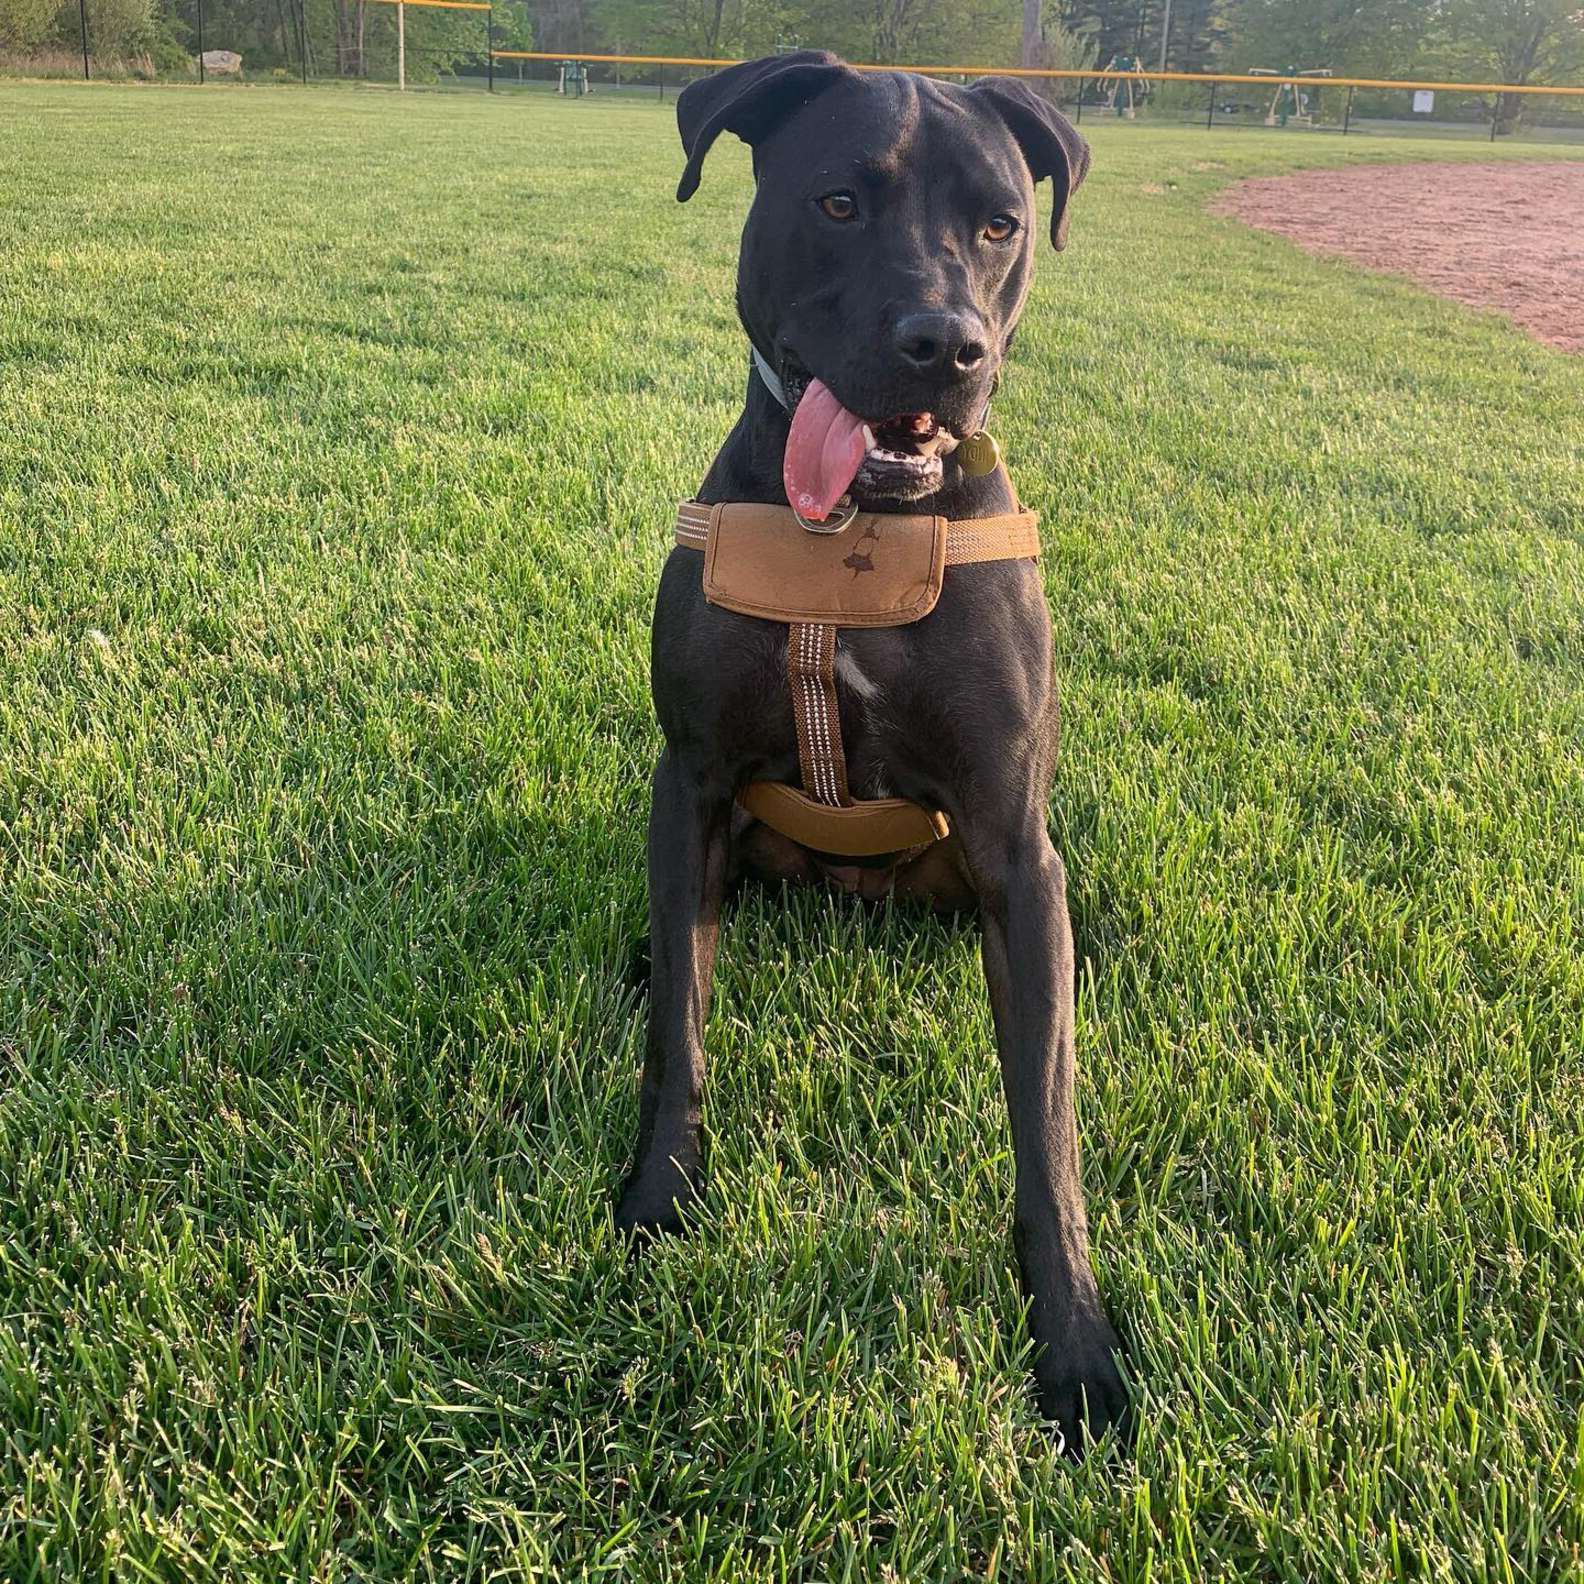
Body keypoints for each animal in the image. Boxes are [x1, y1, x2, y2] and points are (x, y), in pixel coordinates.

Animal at [616, 51, 1127, 1455]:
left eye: (1001, 223)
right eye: (839, 202)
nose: (943, 344)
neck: (855, 529)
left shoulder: (1011, 836)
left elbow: (1047, 1126)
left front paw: (1075, 1342)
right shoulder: (690, 783)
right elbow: (682, 1036)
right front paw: (656, 1198)